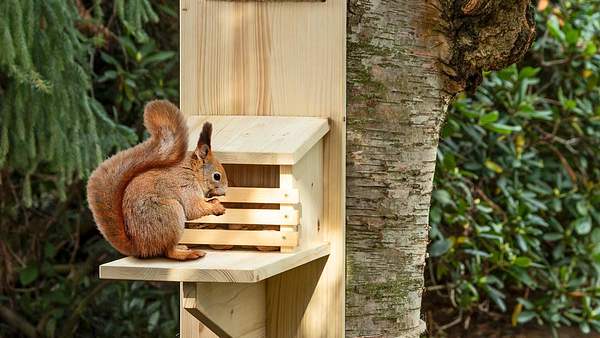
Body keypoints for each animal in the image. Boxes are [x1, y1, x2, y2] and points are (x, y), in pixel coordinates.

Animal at [84, 99, 225, 260]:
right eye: (216, 176)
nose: (225, 192)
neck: (193, 173)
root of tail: (138, 247)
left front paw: (215, 202)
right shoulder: (187, 186)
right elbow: (194, 208)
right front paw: (216, 207)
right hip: (170, 211)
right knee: (168, 252)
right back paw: (188, 253)